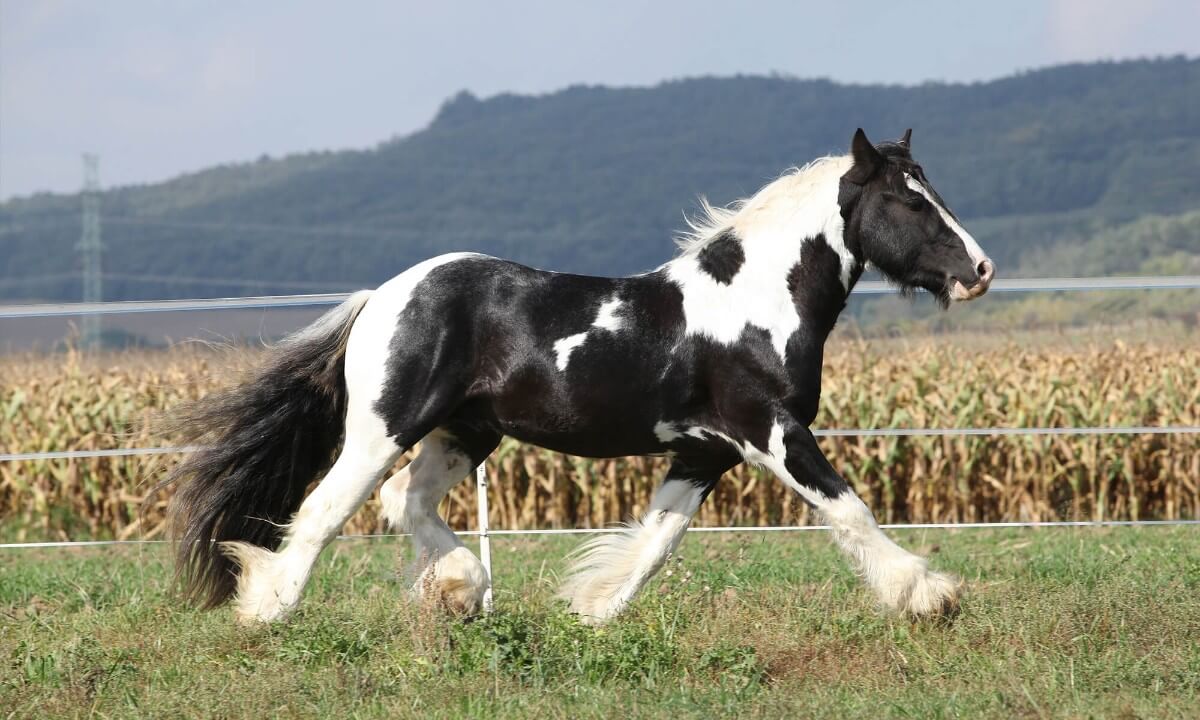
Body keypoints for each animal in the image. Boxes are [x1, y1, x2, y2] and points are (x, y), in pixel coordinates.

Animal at [158, 128, 994, 625]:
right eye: (906, 202)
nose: (980, 271)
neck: (753, 303)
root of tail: (382, 296)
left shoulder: (703, 452)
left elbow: (655, 543)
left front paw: (589, 612)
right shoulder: (770, 433)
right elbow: (849, 509)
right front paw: (929, 594)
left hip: (467, 433)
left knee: (405, 502)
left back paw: (462, 590)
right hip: (382, 428)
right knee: (328, 510)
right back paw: (269, 610)